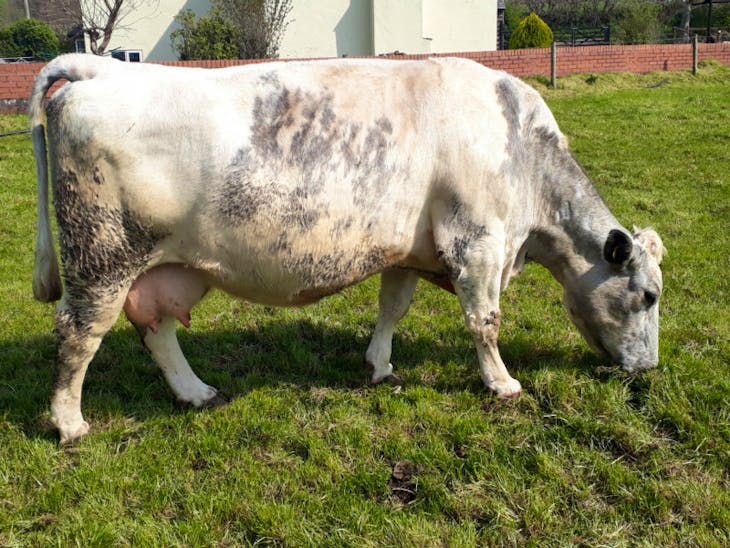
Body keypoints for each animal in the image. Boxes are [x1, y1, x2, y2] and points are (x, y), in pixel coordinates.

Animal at [29, 54, 664, 444]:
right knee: (78, 335)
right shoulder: (478, 243)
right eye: (650, 296)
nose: (649, 369)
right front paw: (502, 383)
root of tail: (99, 69)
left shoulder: (408, 249)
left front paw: (380, 366)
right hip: (102, 257)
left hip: (163, 267)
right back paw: (68, 424)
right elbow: (485, 321)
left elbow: (392, 308)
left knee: (157, 330)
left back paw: (195, 392)